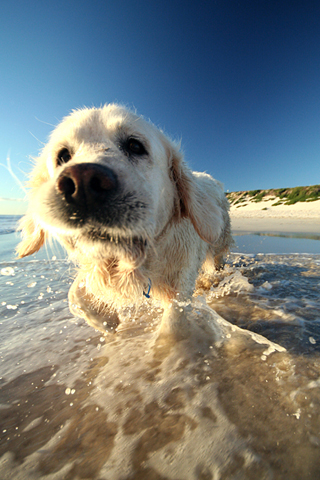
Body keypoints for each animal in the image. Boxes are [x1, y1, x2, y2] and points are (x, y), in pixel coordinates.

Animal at [17, 103, 231, 332]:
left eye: (135, 145)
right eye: (63, 156)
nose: (82, 184)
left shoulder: (180, 281)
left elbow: (173, 322)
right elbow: (75, 293)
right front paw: (106, 321)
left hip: (218, 241)